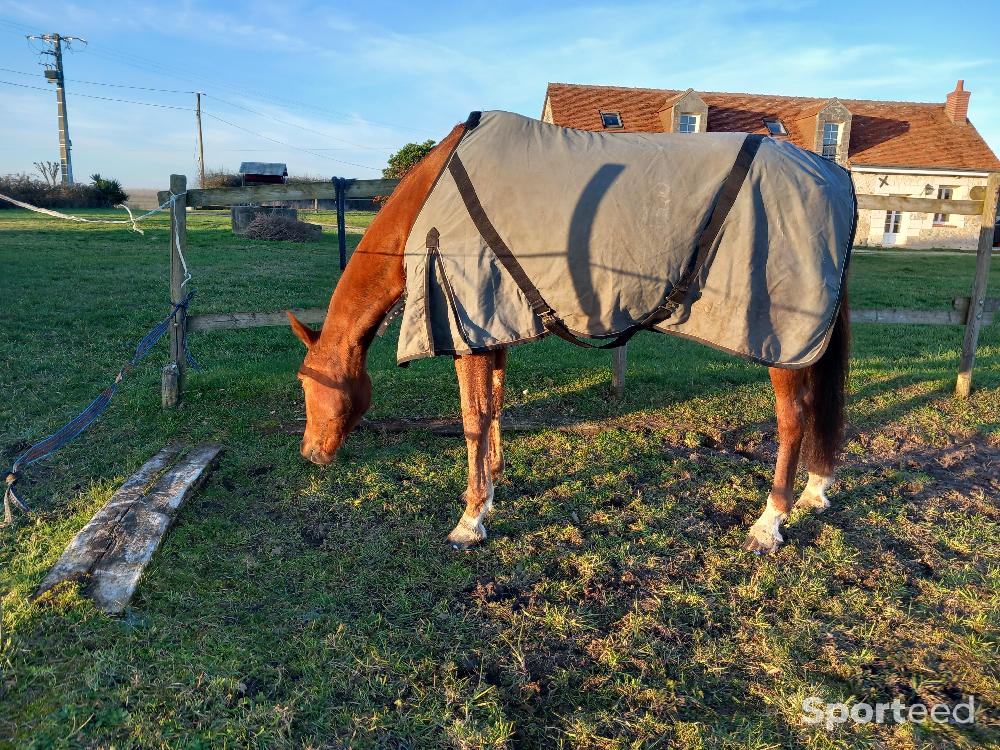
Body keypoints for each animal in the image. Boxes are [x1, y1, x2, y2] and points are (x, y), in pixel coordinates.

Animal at [286, 116, 848, 552]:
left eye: (306, 381)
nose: (310, 454)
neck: (431, 192)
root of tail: (831, 174)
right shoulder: (492, 323)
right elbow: (493, 408)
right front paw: (490, 494)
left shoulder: (467, 322)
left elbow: (472, 418)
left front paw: (469, 520)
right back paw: (816, 490)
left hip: (781, 342)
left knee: (794, 420)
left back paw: (769, 524)